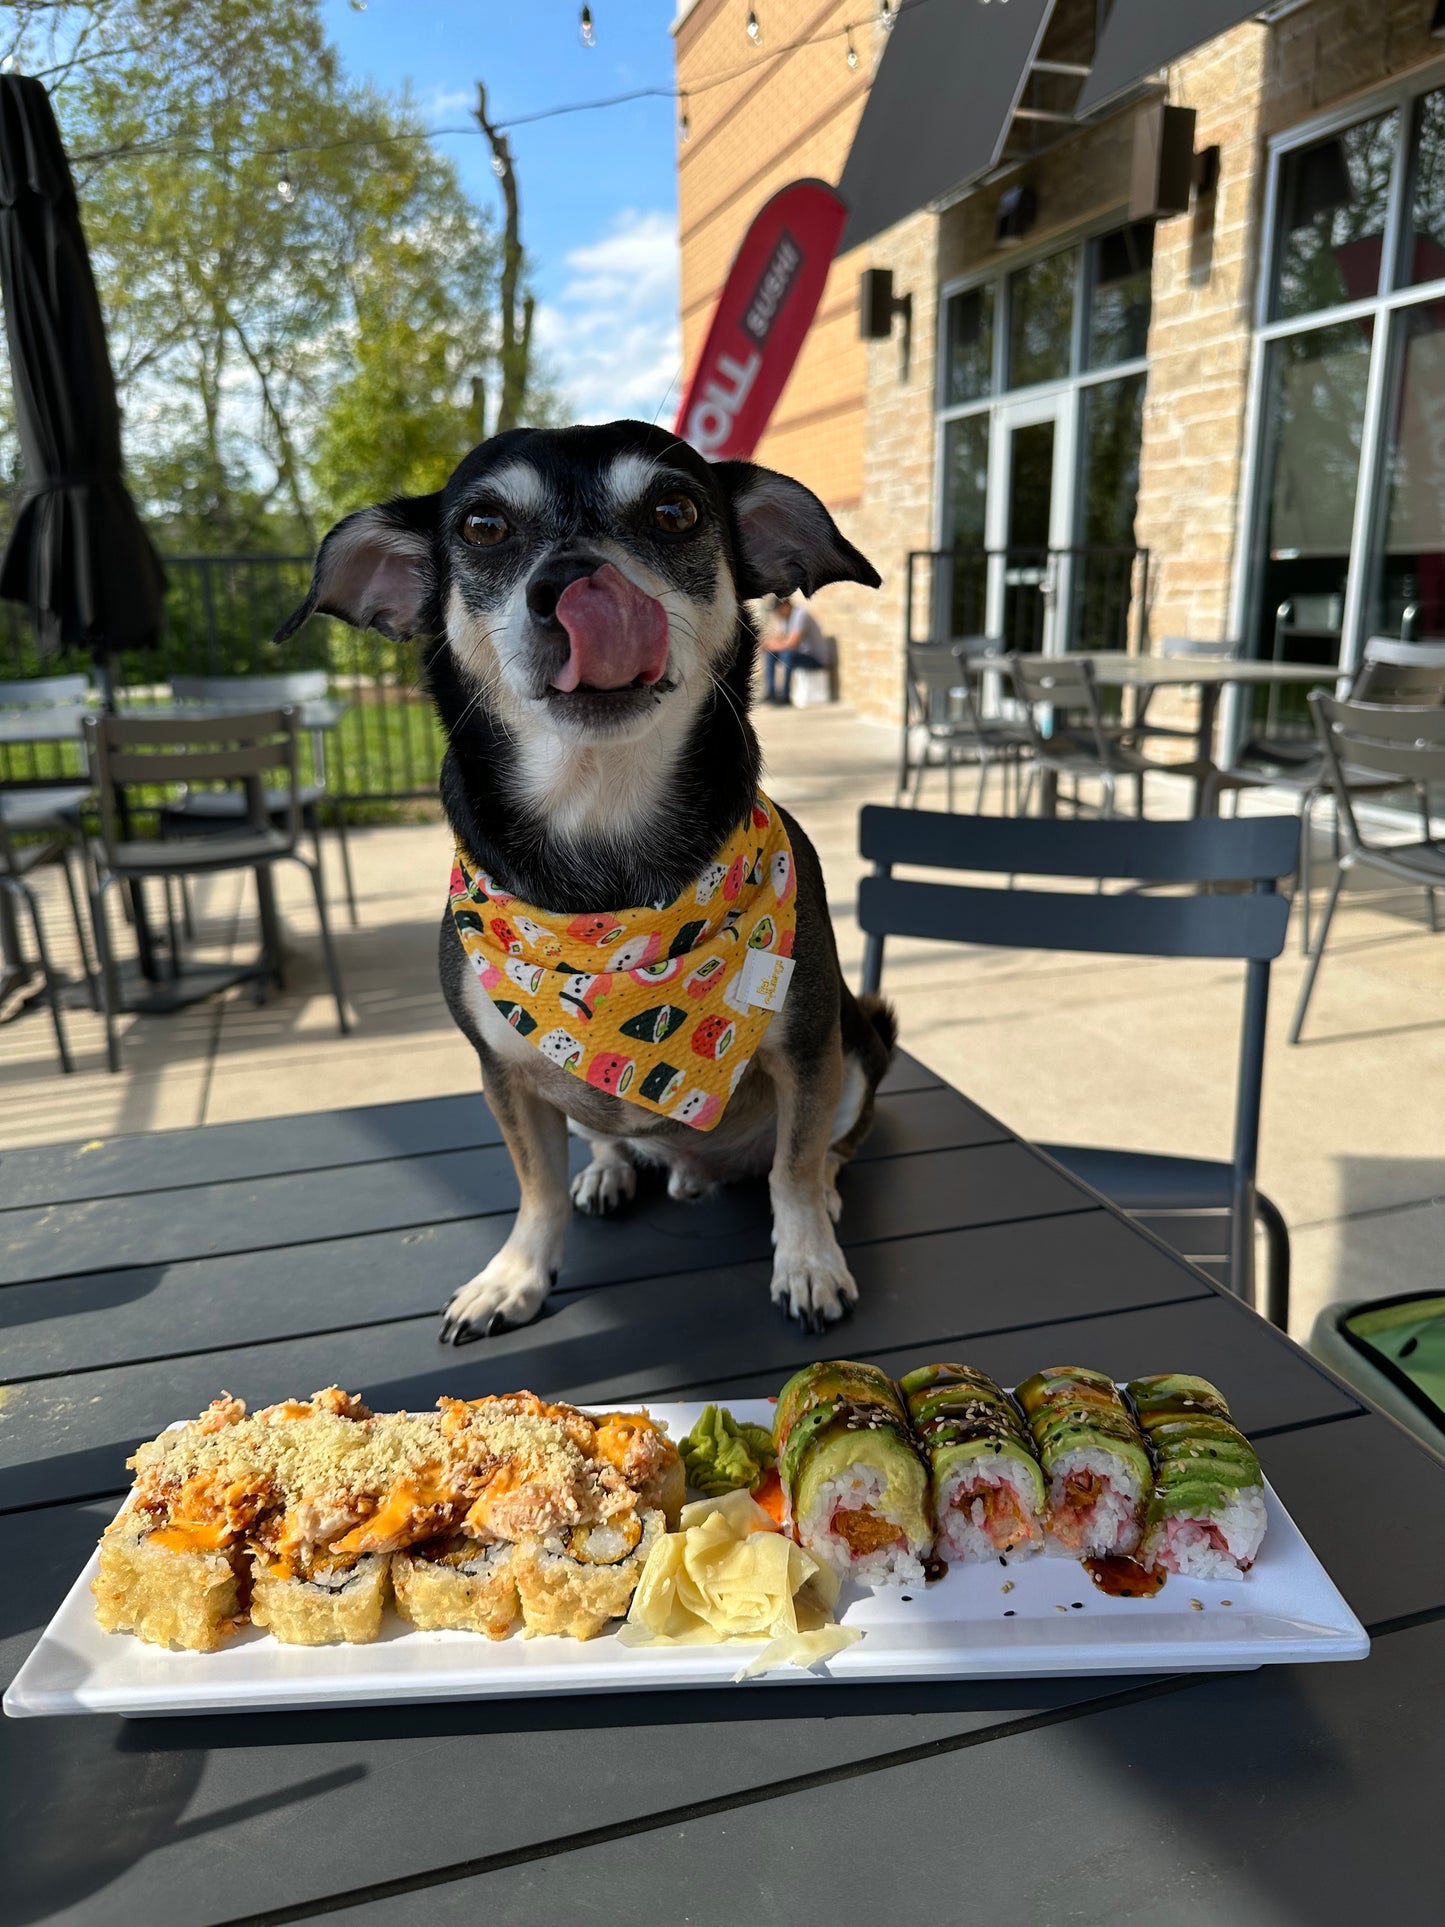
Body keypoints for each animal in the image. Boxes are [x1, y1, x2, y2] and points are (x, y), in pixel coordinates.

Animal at [281, 423, 893, 1348]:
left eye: (675, 511)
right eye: (483, 526)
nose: (571, 582)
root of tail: (694, 1163)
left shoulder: (807, 1047)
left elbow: (790, 1165)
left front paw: (808, 1261)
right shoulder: (504, 1072)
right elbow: (533, 1184)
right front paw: (514, 1275)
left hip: (857, 1043)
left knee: (823, 1148)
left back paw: (817, 1192)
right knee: (605, 1134)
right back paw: (608, 1169)